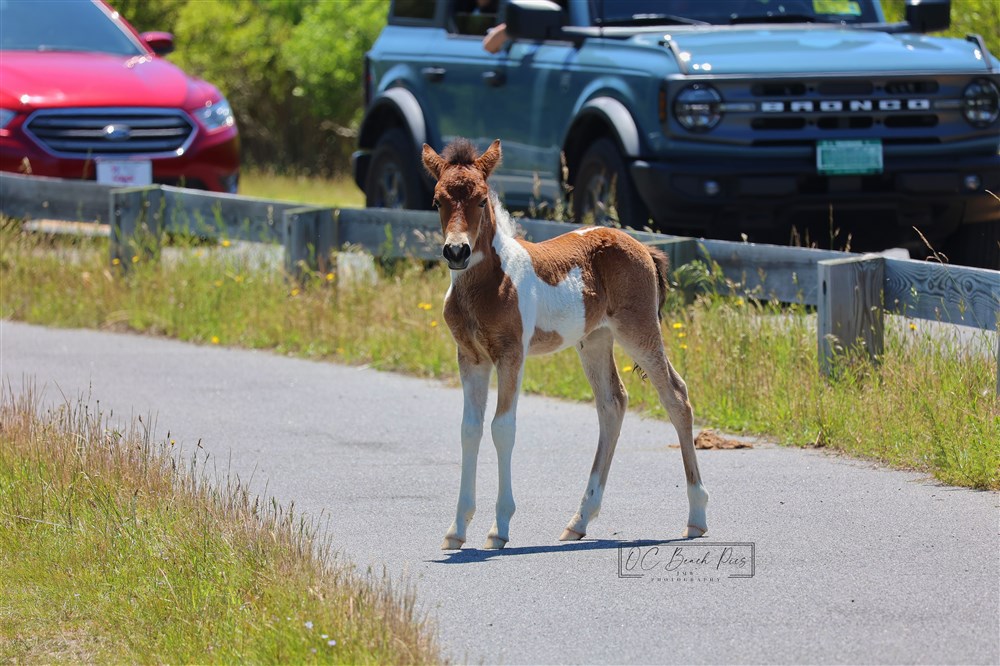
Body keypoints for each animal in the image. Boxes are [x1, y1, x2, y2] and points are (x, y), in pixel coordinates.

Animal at [424, 137, 712, 548]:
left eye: (480, 200)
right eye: (437, 201)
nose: (456, 251)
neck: (489, 283)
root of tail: (644, 247)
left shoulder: (511, 354)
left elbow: (502, 428)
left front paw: (499, 528)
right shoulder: (470, 357)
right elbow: (469, 429)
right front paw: (457, 529)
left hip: (638, 331)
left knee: (676, 396)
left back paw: (696, 516)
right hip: (594, 340)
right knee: (612, 404)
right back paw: (580, 520)